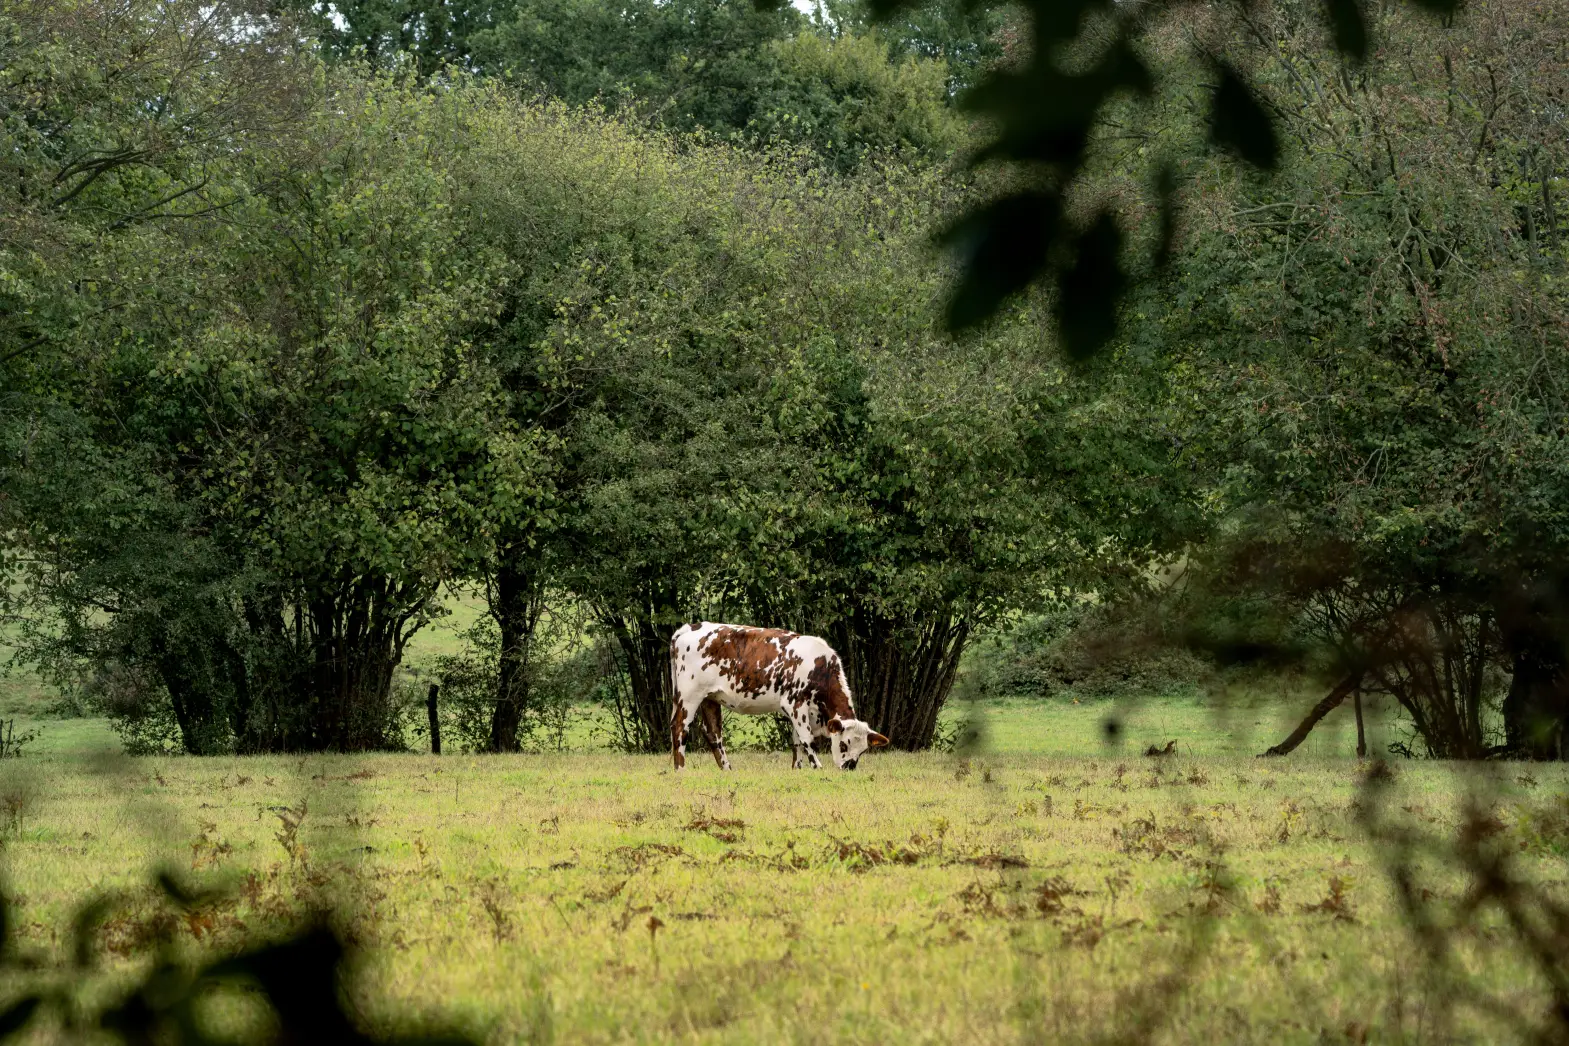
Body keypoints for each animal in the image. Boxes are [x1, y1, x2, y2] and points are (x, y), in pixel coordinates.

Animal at [669, 621, 889, 771]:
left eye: (863, 750)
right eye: (844, 744)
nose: (849, 767)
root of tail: (692, 626)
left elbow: (797, 740)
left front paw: (797, 768)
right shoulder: (795, 704)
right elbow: (807, 739)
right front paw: (817, 767)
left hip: (710, 698)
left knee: (713, 733)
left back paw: (727, 769)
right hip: (689, 695)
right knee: (680, 727)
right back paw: (681, 769)